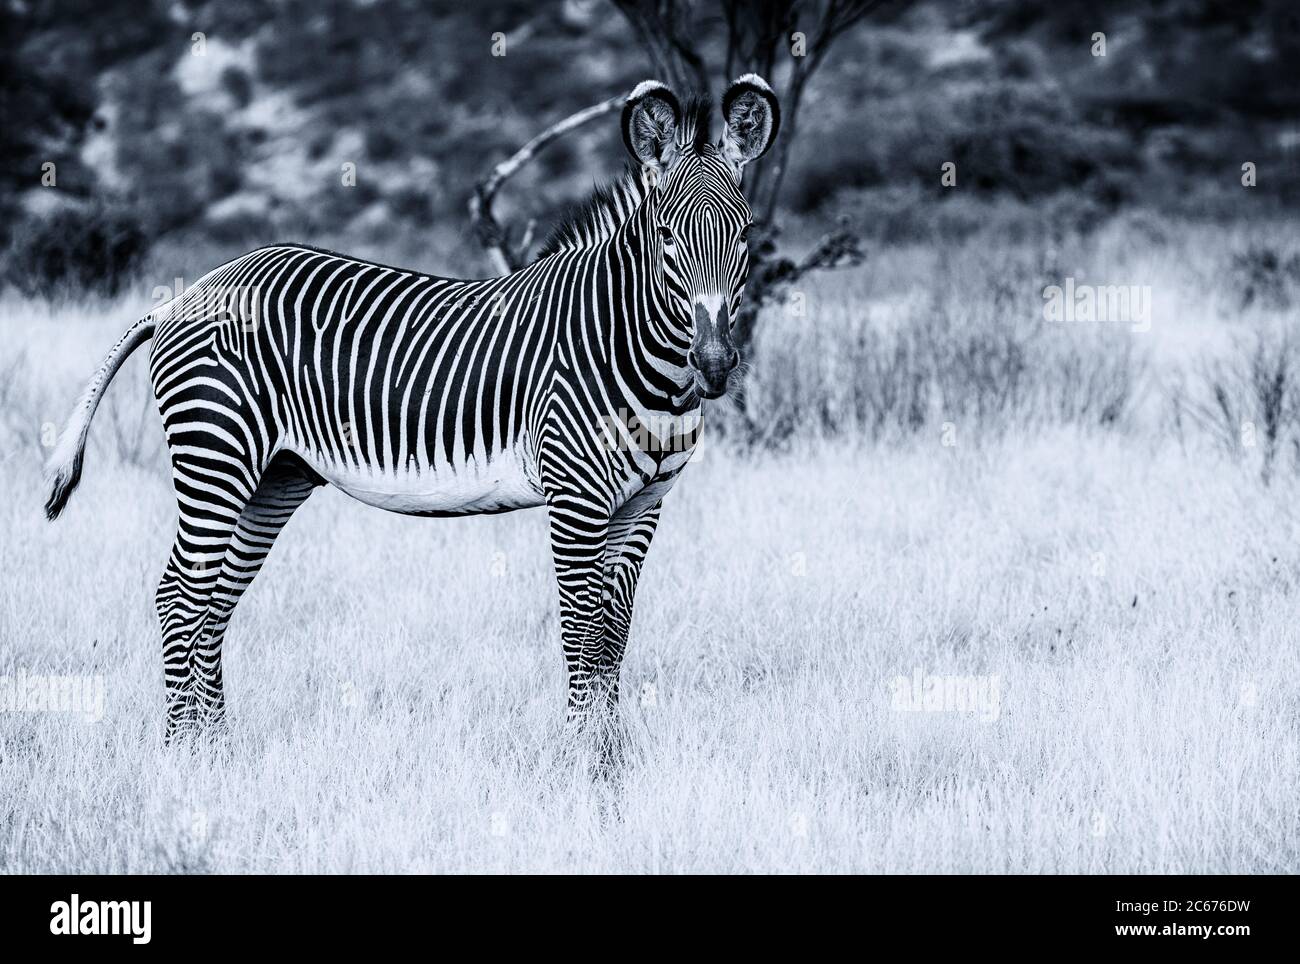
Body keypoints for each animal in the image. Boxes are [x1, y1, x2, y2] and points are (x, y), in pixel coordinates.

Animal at [43, 75, 780, 741]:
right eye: (667, 241)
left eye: (745, 236)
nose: (715, 364)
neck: (635, 350)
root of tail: (187, 292)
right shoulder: (576, 497)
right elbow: (581, 629)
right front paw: (581, 761)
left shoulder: (644, 505)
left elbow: (614, 633)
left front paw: (612, 758)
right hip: (215, 455)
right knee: (178, 597)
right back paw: (182, 755)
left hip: (273, 477)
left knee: (214, 603)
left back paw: (217, 749)